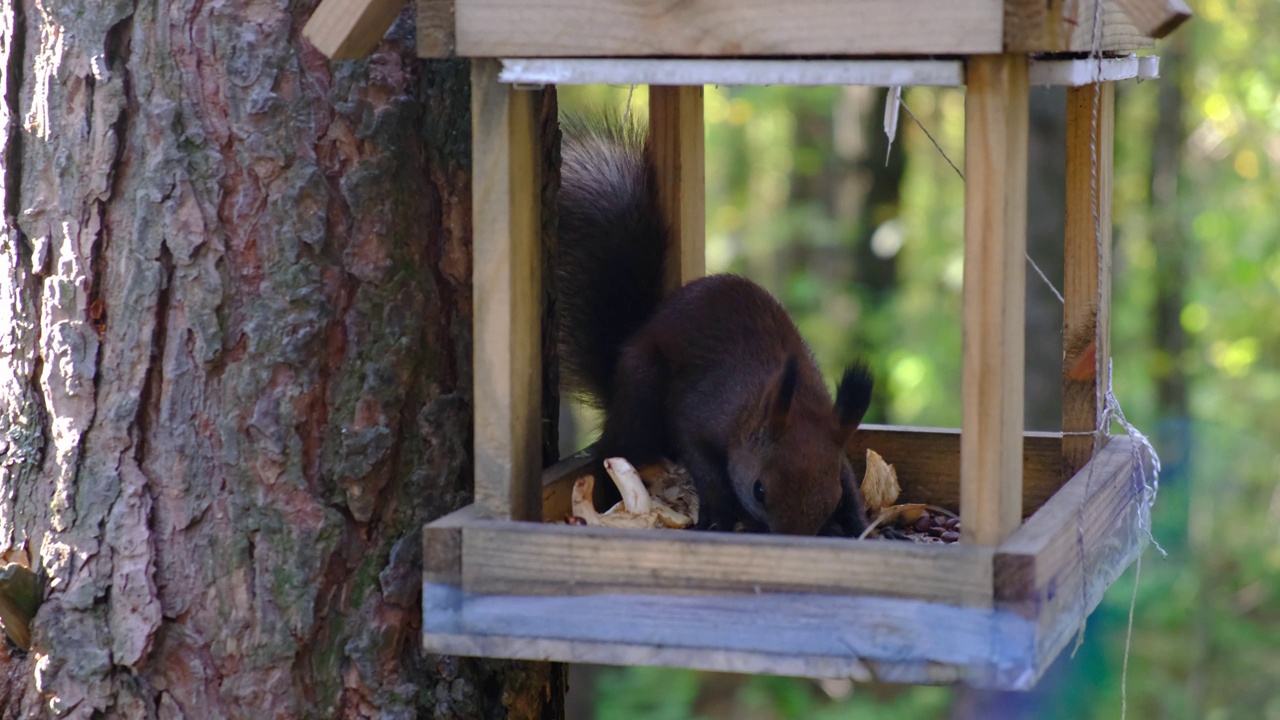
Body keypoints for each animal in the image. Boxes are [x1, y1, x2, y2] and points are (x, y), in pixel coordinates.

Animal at [555, 112, 875, 535]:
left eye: (832, 498)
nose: (790, 538)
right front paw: (721, 510)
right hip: (642, 390)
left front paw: (858, 521)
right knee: (620, 447)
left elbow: (850, 478)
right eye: (759, 490)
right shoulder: (698, 413)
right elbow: (701, 460)